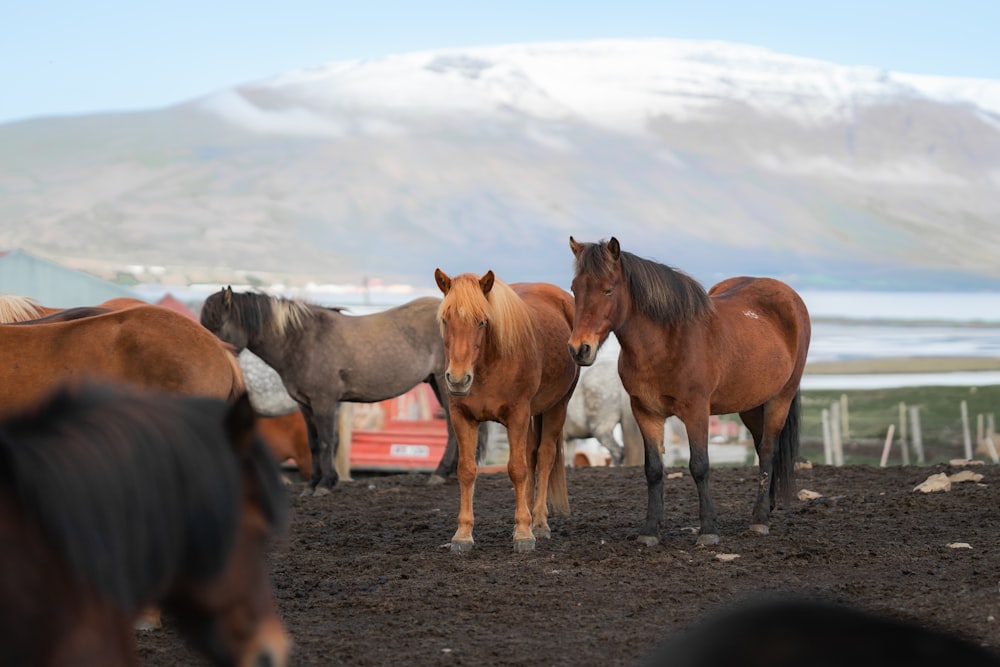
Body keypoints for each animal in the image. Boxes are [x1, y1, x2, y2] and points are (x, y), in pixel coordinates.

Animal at [436, 268, 580, 552]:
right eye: (445, 320)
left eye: (482, 322)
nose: (457, 379)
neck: (488, 366)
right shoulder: (462, 417)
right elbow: (467, 470)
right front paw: (463, 534)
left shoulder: (518, 415)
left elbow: (516, 469)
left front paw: (524, 533)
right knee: (531, 455)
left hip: (557, 406)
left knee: (544, 457)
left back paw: (539, 523)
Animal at [568, 239, 808, 548]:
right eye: (575, 288)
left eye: (608, 289)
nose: (579, 349)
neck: (666, 343)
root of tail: (789, 297)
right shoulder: (645, 413)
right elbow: (653, 469)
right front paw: (650, 530)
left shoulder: (696, 412)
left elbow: (699, 466)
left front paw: (708, 530)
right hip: (752, 405)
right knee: (761, 446)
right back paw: (768, 507)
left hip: (780, 398)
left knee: (767, 450)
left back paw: (759, 520)